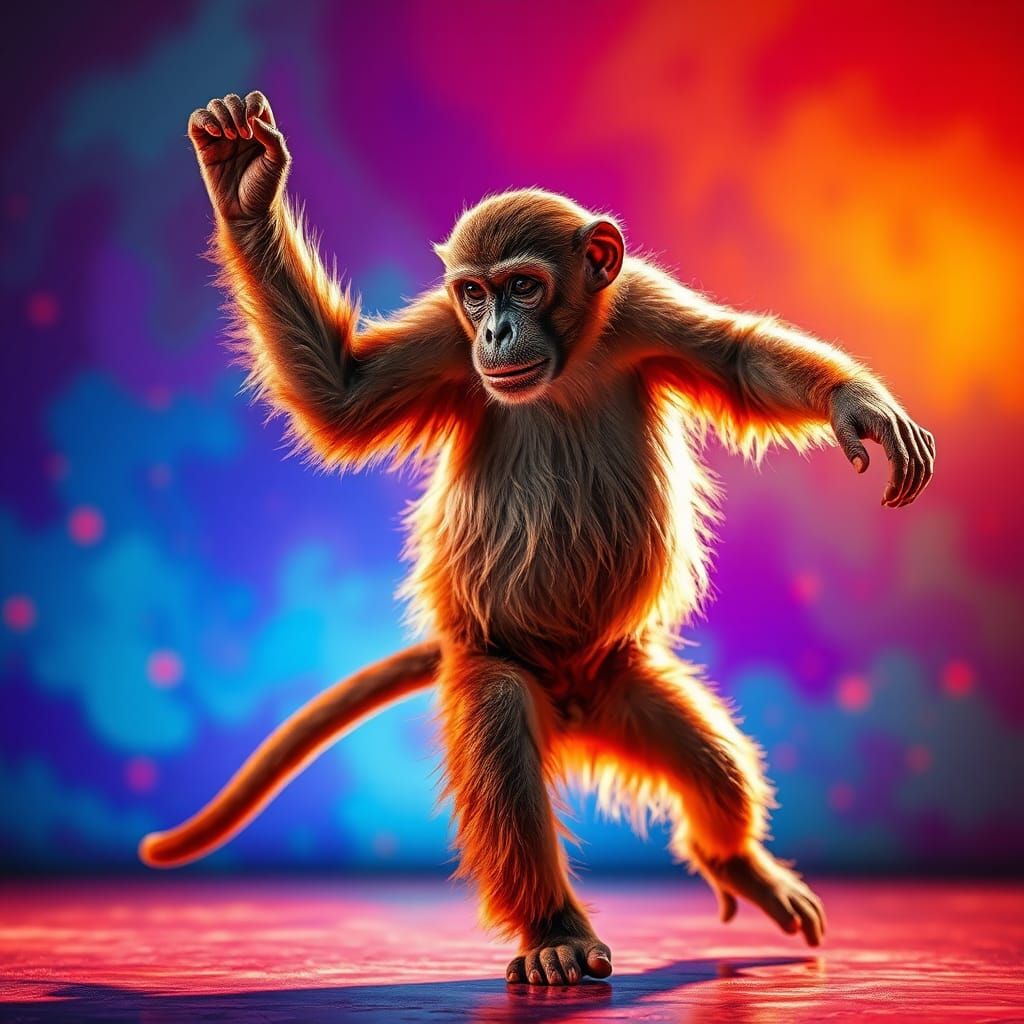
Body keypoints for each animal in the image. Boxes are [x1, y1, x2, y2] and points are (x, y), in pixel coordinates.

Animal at [140, 91, 935, 987]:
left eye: (524, 286)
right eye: (476, 295)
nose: (495, 334)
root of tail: (574, 707)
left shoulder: (642, 309)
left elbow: (735, 360)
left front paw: (854, 403)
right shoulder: (446, 340)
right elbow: (341, 392)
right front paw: (244, 189)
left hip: (624, 681)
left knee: (714, 765)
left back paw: (734, 859)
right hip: (494, 660)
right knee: (502, 744)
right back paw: (555, 928)